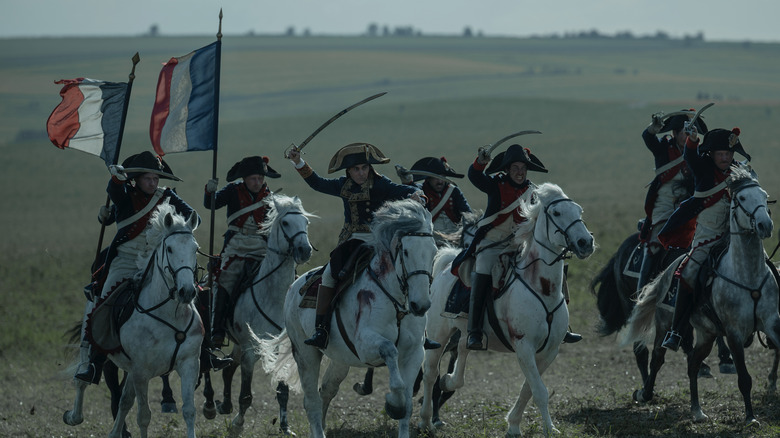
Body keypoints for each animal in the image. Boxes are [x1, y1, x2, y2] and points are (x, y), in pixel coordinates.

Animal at [64, 202, 201, 438]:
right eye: (170, 249)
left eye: (195, 248)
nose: (187, 292)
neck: (169, 316)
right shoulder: (141, 372)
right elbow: (144, 415)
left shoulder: (188, 364)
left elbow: (189, 410)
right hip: (91, 347)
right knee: (82, 381)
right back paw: (74, 416)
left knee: (125, 400)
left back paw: (114, 433)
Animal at [212, 194, 316, 434]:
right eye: (285, 222)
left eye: (305, 222)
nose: (305, 250)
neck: (273, 295)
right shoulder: (251, 350)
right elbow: (246, 395)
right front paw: (238, 425)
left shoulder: (279, 347)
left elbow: (283, 390)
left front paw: (285, 427)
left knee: (228, 369)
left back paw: (224, 405)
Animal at [264, 199, 438, 438]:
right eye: (406, 251)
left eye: (434, 252)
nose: (420, 305)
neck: (396, 302)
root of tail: (294, 287)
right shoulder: (365, 345)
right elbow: (390, 352)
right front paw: (394, 404)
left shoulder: (414, 353)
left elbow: (408, 404)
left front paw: (400, 409)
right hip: (306, 354)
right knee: (312, 401)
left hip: (339, 359)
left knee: (326, 390)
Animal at [420, 183, 592, 436]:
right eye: (557, 213)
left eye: (579, 211)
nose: (585, 242)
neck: (541, 288)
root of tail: (445, 266)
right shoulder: (524, 346)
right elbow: (539, 391)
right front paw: (548, 428)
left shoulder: (550, 350)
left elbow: (528, 389)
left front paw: (514, 424)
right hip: (438, 335)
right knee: (430, 373)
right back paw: (425, 420)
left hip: (467, 332)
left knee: (462, 348)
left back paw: (450, 381)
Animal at [620, 165, 780, 424]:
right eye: (742, 198)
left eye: (764, 196)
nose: (765, 225)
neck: (748, 275)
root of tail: (668, 271)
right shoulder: (734, 333)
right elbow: (744, 379)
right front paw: (749, 417)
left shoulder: (772, 323)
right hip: (665, 325)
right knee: (657, 358)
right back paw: (645, 393)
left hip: (707, 334)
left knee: (693, 363)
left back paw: (696, 410)